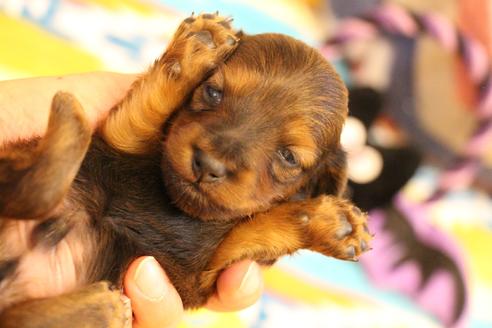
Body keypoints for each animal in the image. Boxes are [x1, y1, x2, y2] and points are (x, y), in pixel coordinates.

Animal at [0, 14, 368, 326]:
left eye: (289, 157)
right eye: (213, 92)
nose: (207, 165)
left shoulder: (202, 278)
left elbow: (254, 230)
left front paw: (332, 226)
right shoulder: (118, 138)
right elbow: (147, 107)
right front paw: (201, 45)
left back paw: (104, 307)